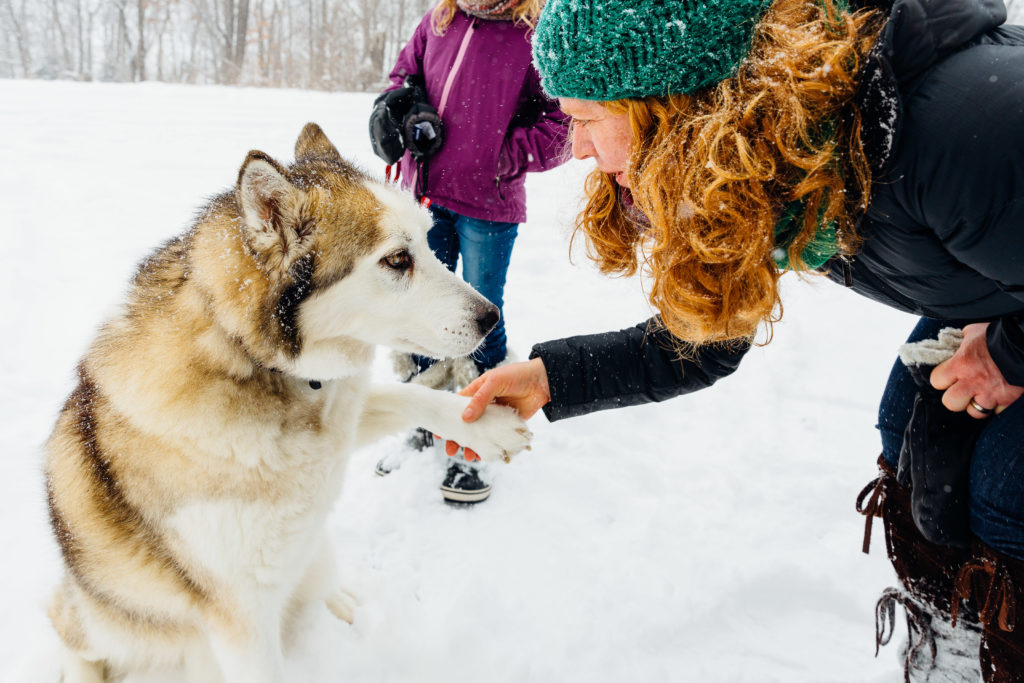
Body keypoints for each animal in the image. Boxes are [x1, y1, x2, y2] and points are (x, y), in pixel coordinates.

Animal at [45, 124, 532, 683]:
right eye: (397, 260)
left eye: (428, 241)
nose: (491, 317)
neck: (253, 362)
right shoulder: (241, 620)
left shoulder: (342, 419)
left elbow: (413, 393)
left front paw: (483, 423)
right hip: (92, 624)